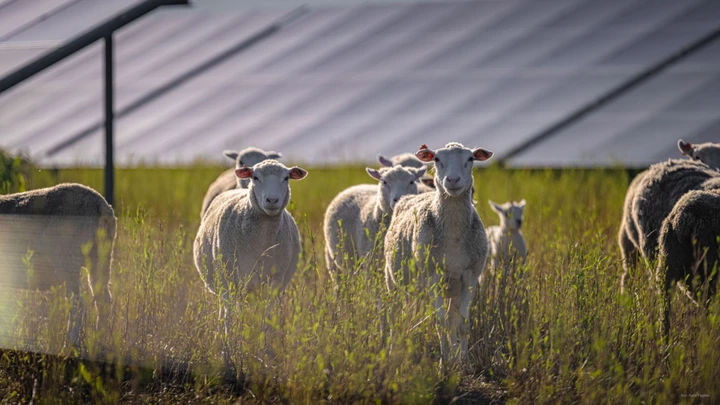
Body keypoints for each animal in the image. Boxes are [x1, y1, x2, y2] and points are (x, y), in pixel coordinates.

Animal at [0, 183, 116, 348]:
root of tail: (102, 206)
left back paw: (68, 346)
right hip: (102, 258)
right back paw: (98, 341)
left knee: (77, 302)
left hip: (67, 259)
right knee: (103, 300)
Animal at [193, 159, 307, 367]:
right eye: (256, 177)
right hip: (225, 280)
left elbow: (266, 317)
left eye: (286, 178)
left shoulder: (274, 282)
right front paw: (228, 353)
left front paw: (265, 353)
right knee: (226, 311)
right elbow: (231, 317)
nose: (272, 200)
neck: (262, 241)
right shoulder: (230, 278)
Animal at [383, 142, 493, 364]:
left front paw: (463, 363)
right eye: (437, 159)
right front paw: (444, 363)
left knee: (447, 317)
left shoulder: (470, 276)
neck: (453, 235)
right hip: (394, 280)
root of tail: (409, 197)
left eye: (470, 159)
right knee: (396, 315)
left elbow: (462, 322)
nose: (452, 180)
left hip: (450, 287)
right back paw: (394, 350)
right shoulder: (433, 275)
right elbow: (441, 322)